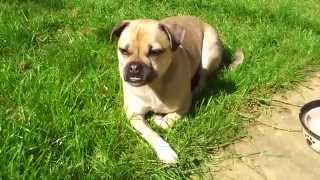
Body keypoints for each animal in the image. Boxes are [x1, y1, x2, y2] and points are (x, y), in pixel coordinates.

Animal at [110, 16, 240, 164]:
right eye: (123, 51)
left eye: (155, 52)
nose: (134, 67)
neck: (153, 86)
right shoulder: (134, 114)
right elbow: (150, 133)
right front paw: (165, 151)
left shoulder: (182, 108)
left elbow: (167, 122)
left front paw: (159, 119)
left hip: (209, 54)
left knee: (202, 81)